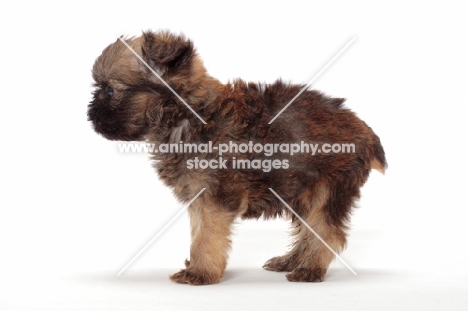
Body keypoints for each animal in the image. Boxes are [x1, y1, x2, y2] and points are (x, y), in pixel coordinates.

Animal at [88, 30, 388, 286]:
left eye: (109, 91)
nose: (91, 114)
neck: (188, 113)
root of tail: (365, 131)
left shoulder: (214, 197)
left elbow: (207, 236)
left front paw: (201, 272)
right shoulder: (199, 196)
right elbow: (199, 232)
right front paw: (198, 267)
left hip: (326, 191)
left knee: (327, 232)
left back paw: (310, 269)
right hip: (300, 193)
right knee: (309, 231)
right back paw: (291, 261)